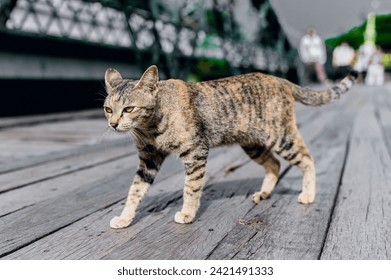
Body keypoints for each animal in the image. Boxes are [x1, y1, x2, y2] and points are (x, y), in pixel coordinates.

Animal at [103, 65, 358, 228]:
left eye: (129, 109)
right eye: (108, 109)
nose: (113, 124)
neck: (150, 128)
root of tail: (280, 79)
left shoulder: (195, 152)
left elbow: (191, 188)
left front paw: (187, 213)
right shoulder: (149, 159)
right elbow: (135, 190)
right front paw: (125, 218)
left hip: (281, 137)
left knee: (307, 158)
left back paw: (308, 194)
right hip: (253, 144)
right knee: (274, 164)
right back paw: (265, 192)